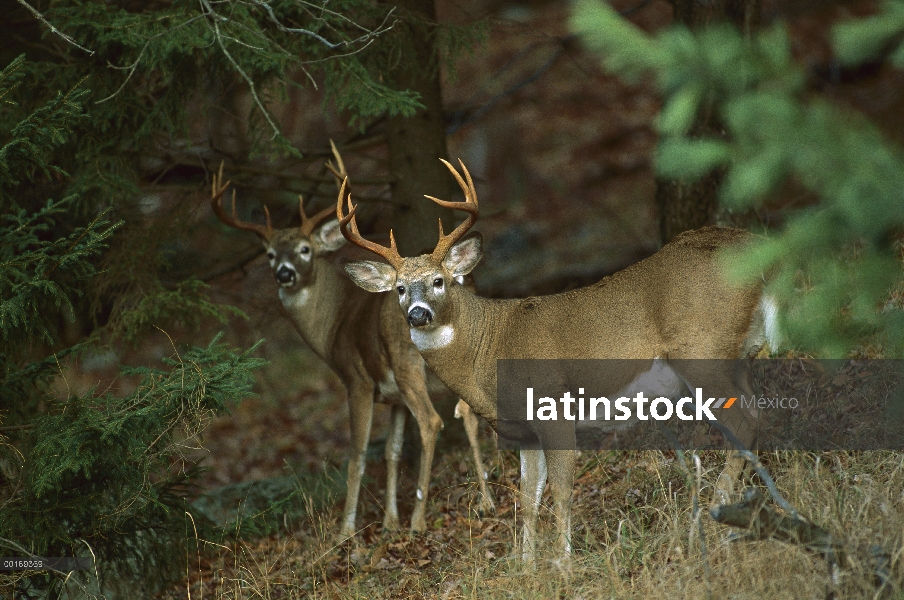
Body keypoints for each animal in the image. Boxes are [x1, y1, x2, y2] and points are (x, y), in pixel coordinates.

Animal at [208, 156, 494, 540]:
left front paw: (347, 530)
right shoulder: (394, 399)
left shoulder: (356, 380)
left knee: (433, 421)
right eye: (268, 255)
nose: (284, 274)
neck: (336, 324)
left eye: (305, 250)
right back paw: (485, 500)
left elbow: (357, 454)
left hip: (406, 363)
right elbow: (391, 451)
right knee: (468, 412)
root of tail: (460, 277)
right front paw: (389, 521)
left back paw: (419, 520)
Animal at [336, 159, 772, 564]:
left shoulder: (553, 407)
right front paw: (526, 567)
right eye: (399, 289)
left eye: (438, 281)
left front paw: (563, 561)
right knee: (760, 414)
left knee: (745, 423)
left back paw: (716, 517)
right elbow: (528, 498)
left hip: (702, 353)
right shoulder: (523, 431)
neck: (489, 347)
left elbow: (561, 490)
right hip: (741, 354)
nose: (417, 315)